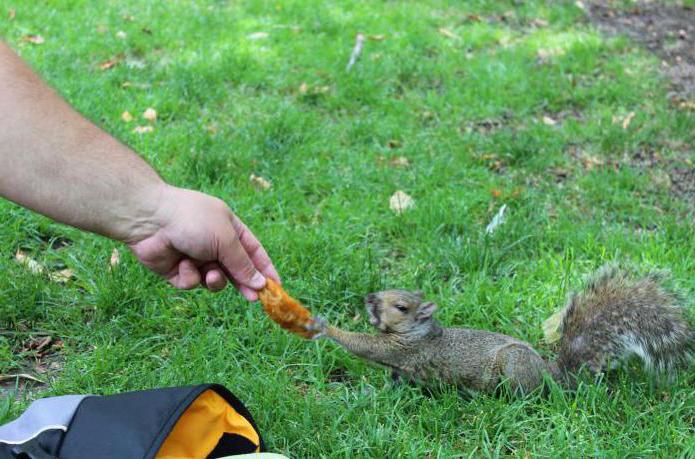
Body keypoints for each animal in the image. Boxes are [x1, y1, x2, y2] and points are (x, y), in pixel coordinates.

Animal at [312, 266, 695, 396]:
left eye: (401, 307)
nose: (369, 298)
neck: (418, 333)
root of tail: (549, 374)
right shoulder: (401, 366)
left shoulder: (403, 350)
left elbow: (366, 347)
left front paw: (323, 325)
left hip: (512, 368)